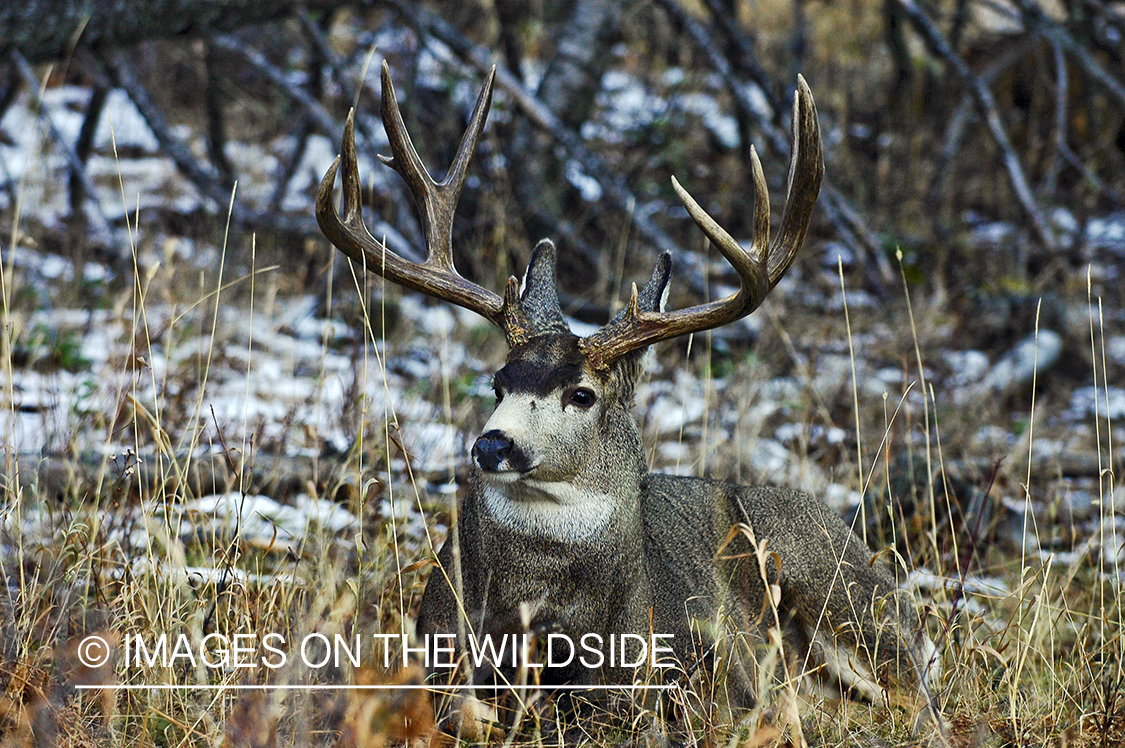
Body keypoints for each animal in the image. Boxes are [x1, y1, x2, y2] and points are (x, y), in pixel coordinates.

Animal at [317, 62, 941, 738]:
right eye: (498, 382)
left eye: (581, 393)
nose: (491, 444)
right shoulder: (440, 657)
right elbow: (465, 714)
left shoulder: (675, 683)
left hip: (844, 596)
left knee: (917, 700)